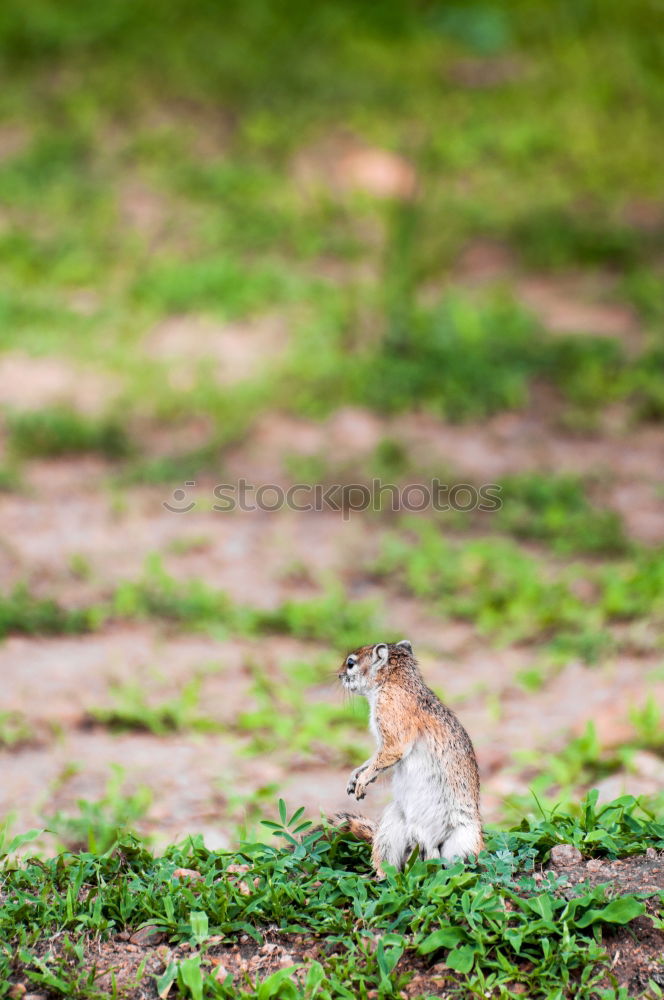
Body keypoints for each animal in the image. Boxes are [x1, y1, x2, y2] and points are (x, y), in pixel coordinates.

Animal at [338, 640, 482, 876]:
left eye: (351, 663)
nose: (340, 675)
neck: (396, 681)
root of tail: (428, 842)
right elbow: (375, 758)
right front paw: (355, 775)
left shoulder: (392, 716)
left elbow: (390, 753)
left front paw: (363, 779)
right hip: (390, 830)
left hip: (463, 840)